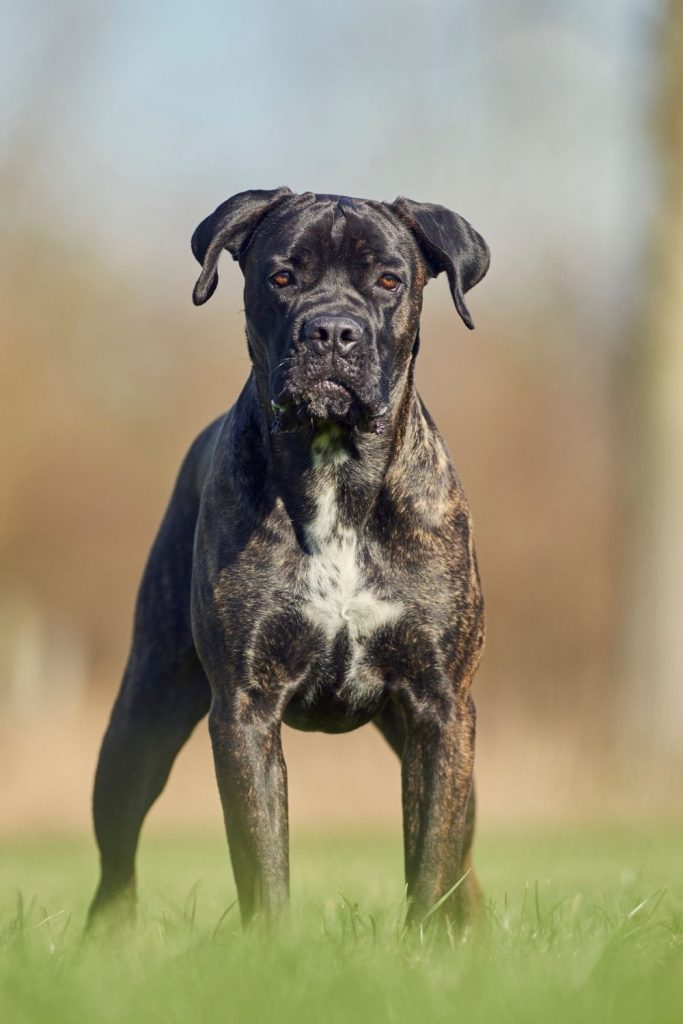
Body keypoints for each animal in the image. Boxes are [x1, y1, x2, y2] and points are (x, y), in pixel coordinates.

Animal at [87, 188, 491, 933]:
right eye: (282, 277)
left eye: (388, 280)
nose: (331, 331)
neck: (334, 468)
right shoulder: (245, 710)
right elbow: (261, 858)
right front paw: (271, 947)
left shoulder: (441, 708)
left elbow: (431, 855)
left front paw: (426, 946)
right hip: (144, 713)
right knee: (117, 855)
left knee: (463, 860)